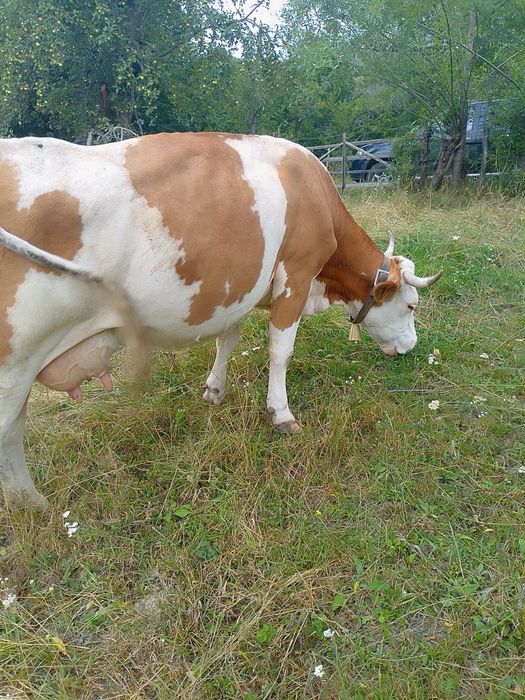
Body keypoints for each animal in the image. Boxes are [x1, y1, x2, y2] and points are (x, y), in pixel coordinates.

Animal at [0, 132, 441, 509]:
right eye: (411, 305)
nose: (411, 346)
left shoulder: (239, 290)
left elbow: (226, 340)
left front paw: (214, 389)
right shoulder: (296, 276)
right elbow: (281, 352)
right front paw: (281, 414)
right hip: (14, 360)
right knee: (8, 430)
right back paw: (32, 502)